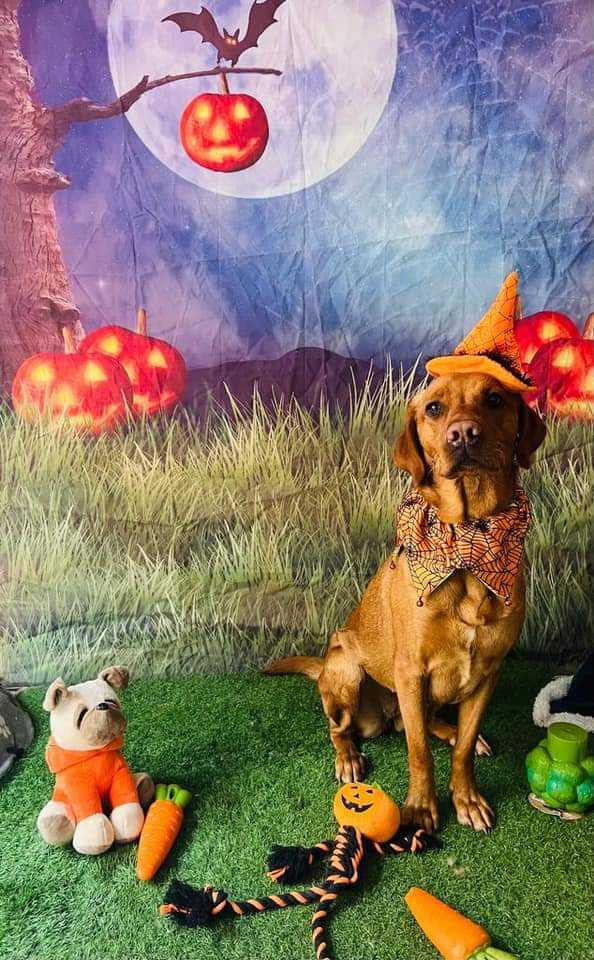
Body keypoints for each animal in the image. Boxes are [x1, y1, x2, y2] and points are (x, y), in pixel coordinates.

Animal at [266, 371, 546, 833]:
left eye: (494, 399)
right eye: (433, 408)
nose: (463, 433)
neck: (466, 546)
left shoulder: (487, 672)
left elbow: (461, 749)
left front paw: (466, 798)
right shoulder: (411, 673)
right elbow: (418, 752)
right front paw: (420, 808)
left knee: (432, 723)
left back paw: (452, 732)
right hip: (347, 673)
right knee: (341, 730)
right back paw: (349, 759)